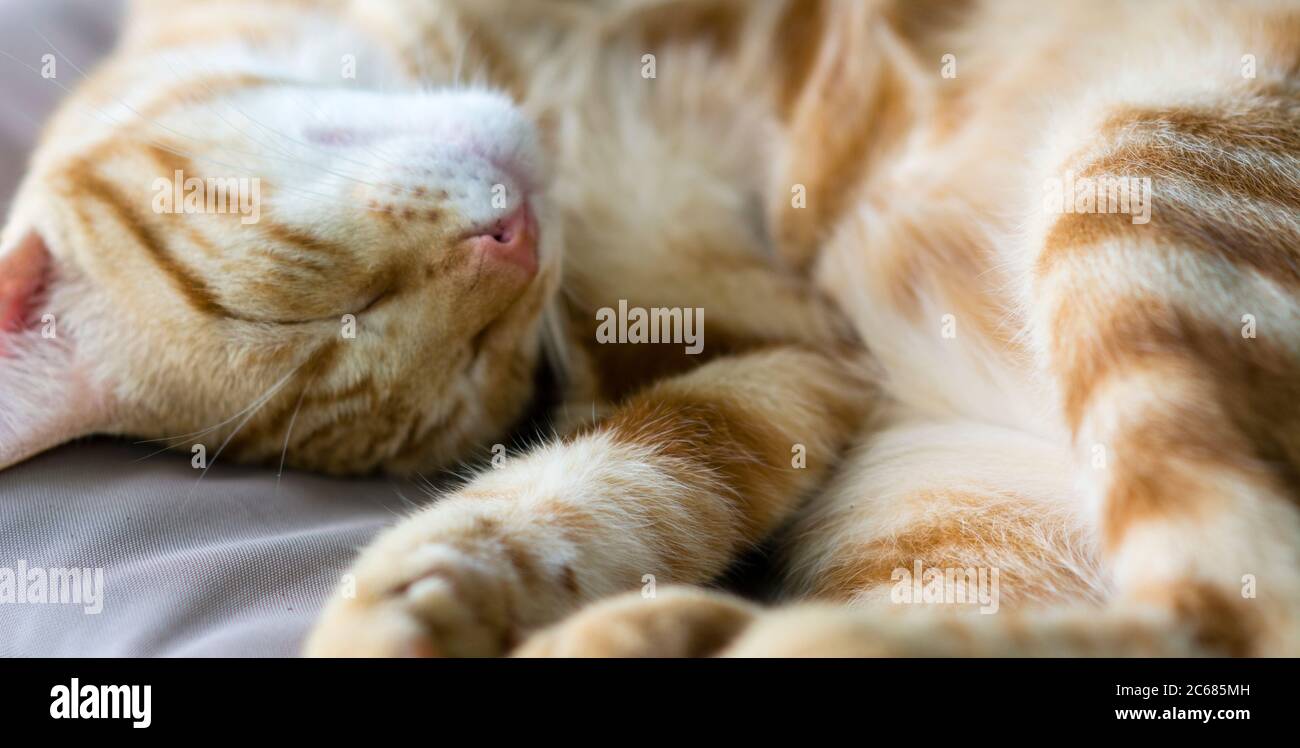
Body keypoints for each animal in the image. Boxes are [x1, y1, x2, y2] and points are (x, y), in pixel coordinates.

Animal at [0, 0, 1294, 655]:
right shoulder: (787, 359)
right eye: (476, 361)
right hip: (950, 499)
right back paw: (655, 633)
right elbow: (614, 484)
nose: (516, 237)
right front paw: (418, 597)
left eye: (335, 310)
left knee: (1234, 612)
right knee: (1199, 620)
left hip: (1133, 173)